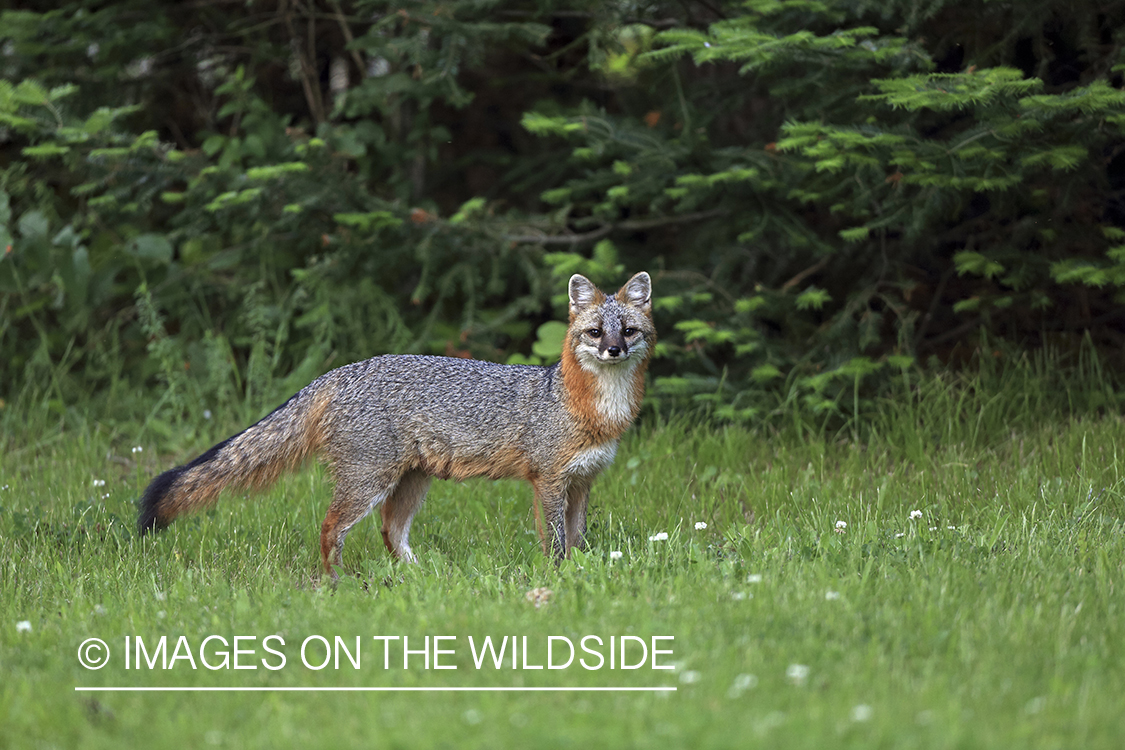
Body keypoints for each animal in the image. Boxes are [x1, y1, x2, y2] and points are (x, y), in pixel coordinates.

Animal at [138, 271, 655, 577]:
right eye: (595, 332)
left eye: (628, 331)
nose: (614, 350)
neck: (591, 409)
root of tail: (343, 370)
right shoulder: (547, 480)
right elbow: (556, 541)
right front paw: (559, 577)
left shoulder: (583, 481)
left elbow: (578, 538)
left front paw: (580, 574)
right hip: (368, 483)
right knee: (330, 528)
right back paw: (337, 584)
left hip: (409, 483)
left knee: (390, 532)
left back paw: (419, 577)